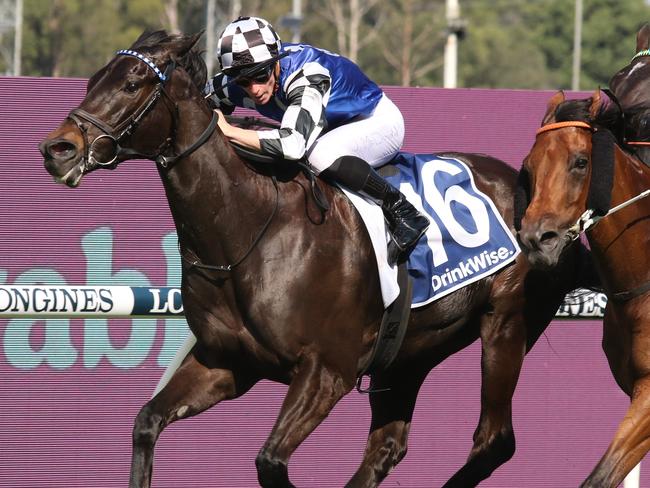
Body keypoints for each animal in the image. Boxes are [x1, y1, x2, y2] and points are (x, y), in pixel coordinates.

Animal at [38, 31, 588, 488]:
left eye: (132, 83)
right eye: (93, 79)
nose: (58, 148)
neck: (248, 232)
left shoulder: (327, 372)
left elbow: (270, 462)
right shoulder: (227, 363)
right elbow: (147, 422)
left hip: (506, 324)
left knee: (493, 441)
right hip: (411, 350)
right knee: (386, 447)